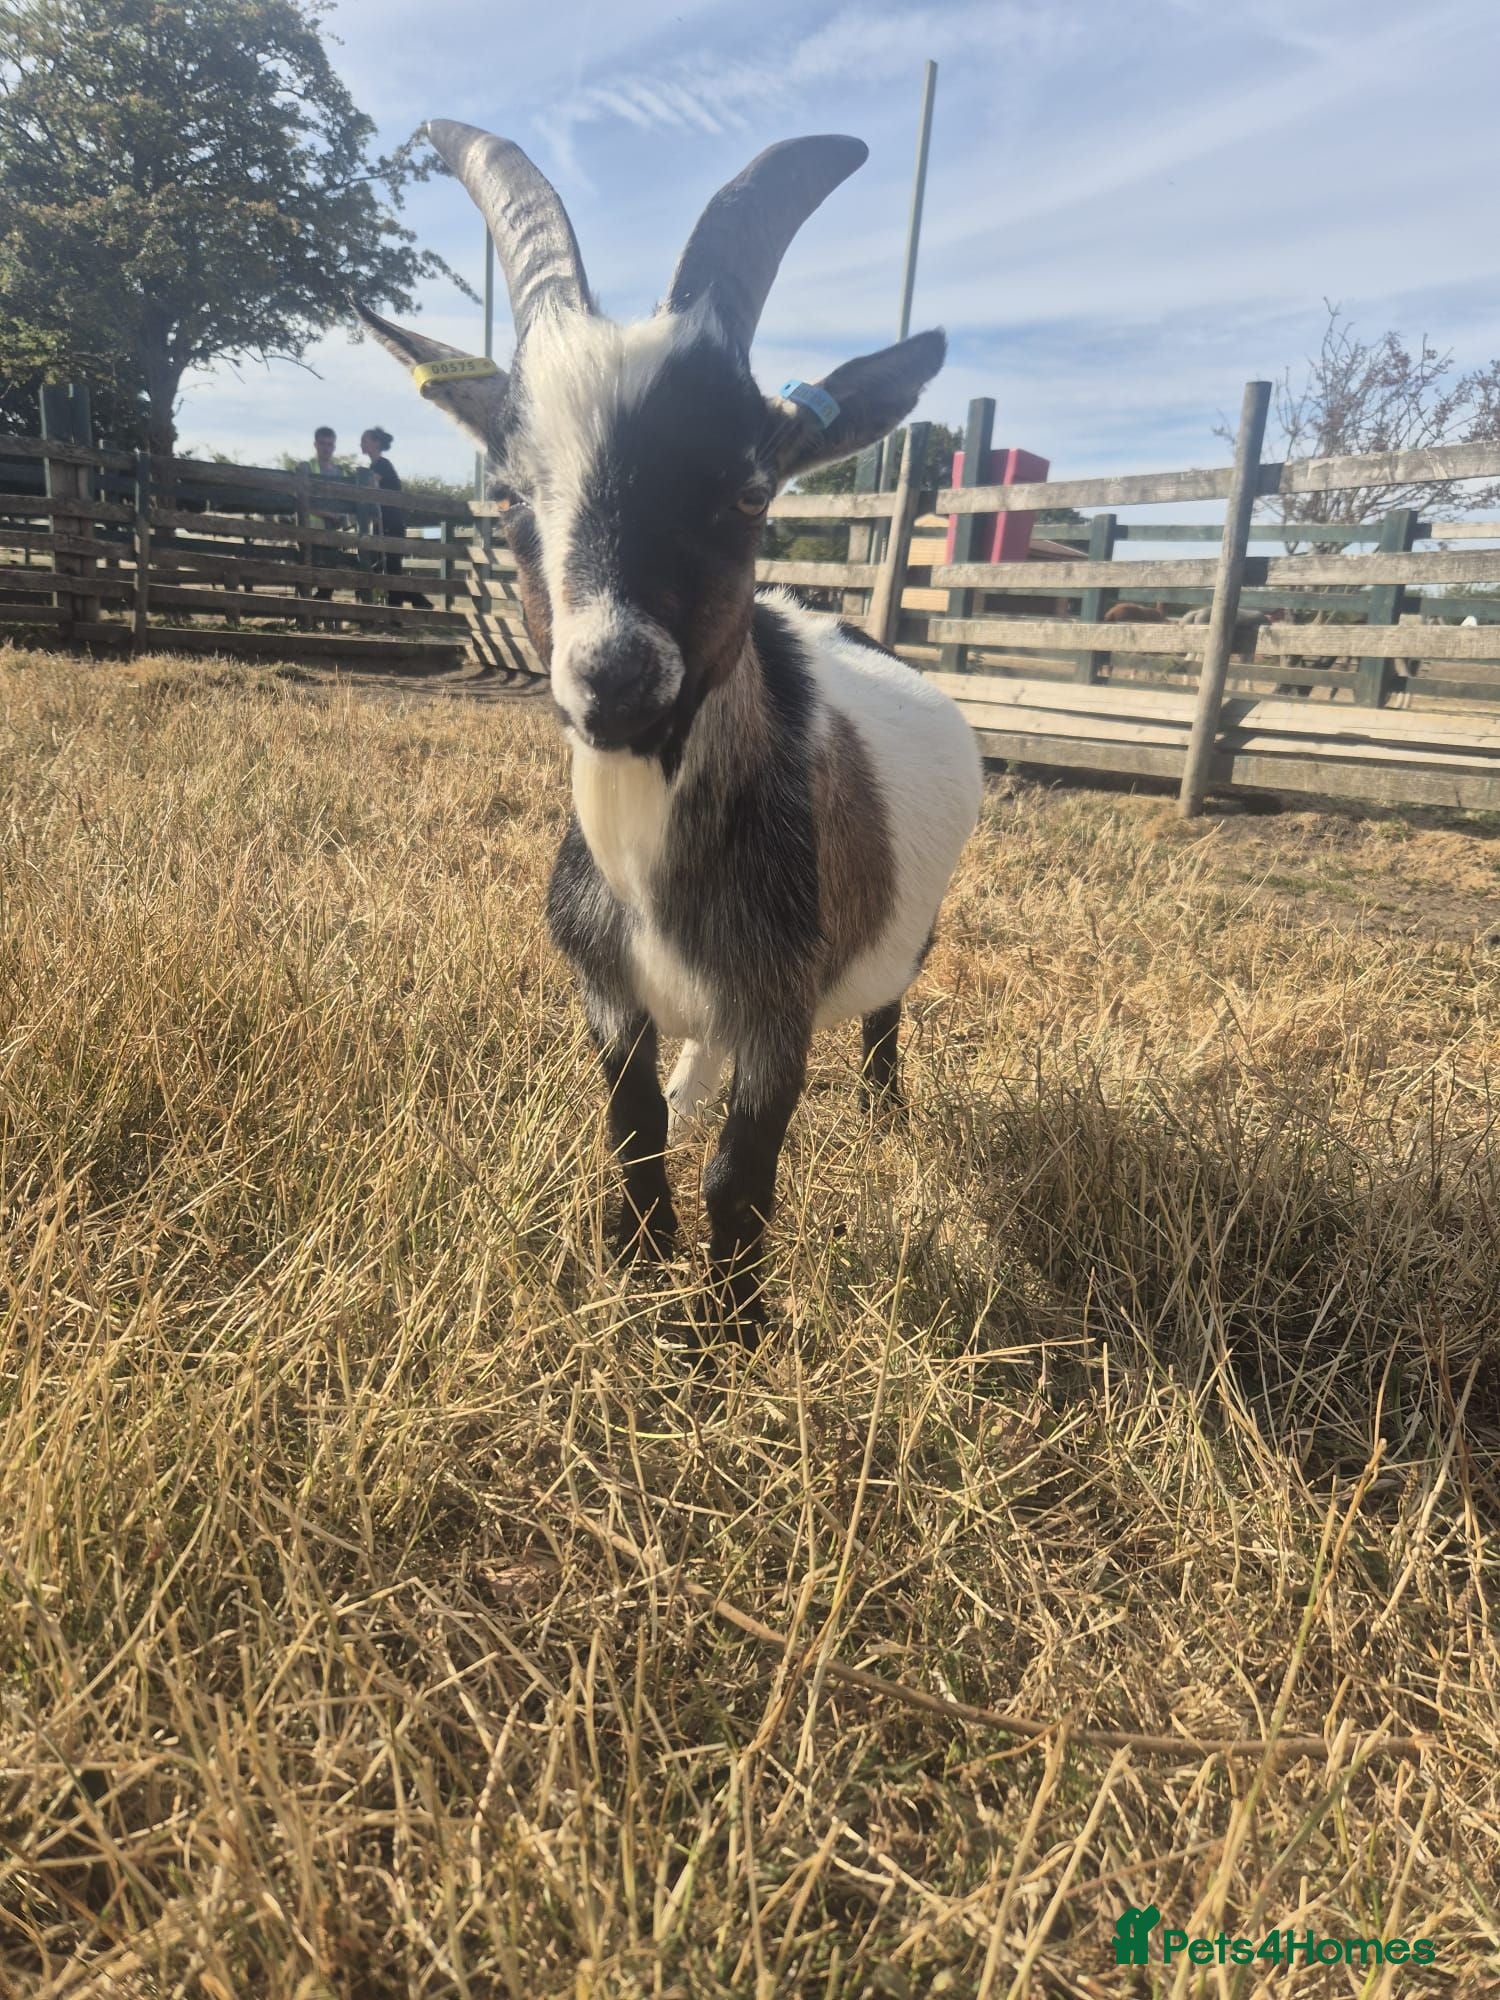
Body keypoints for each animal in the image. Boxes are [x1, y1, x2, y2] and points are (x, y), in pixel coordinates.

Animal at [356, 124, 982, 1337]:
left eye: (748, 491)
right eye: (507, 495)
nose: (615, 680)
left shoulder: (783, 1001)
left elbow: (741, 1172)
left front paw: (729, 1329)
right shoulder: (606, 986)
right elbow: (634, 1127)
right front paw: (637, 1260)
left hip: (910, 933)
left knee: (887, 1014)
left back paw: (886, 1115)